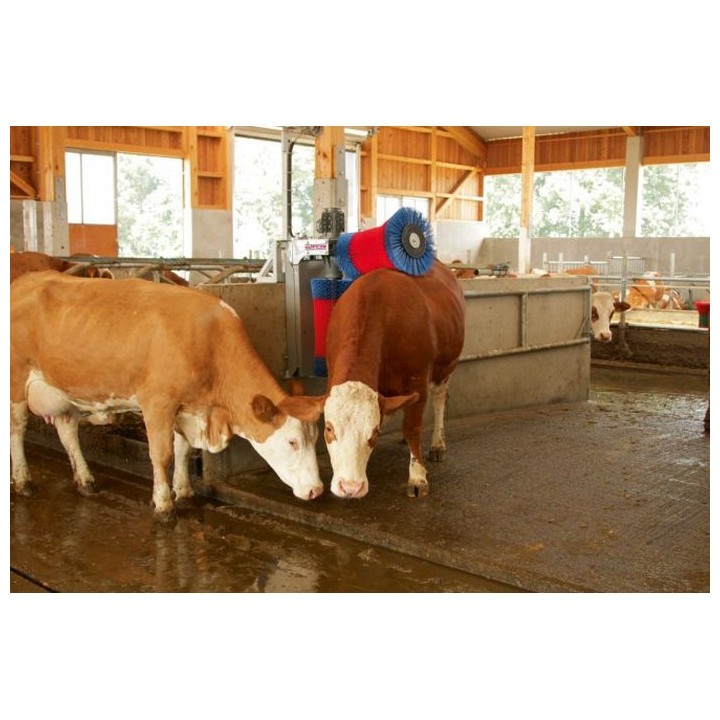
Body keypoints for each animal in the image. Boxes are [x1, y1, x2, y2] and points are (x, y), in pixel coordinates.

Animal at [10, 270, 325, 521]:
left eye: (315, 439)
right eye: (292, 441)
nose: (316, 490)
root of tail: (25, 280)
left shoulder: (186, 408)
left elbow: (183, 450)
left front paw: (184, 491)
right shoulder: (157, 403)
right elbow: (162, 455)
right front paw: (164, 505)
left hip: (62, 390)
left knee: (67, 432)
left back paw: (85, 480)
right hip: (16, 384)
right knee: (16, 430)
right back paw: (23, 481)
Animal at [320, 261, 466, 499]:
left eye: (374, 433)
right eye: (329, 428)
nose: (350, 487)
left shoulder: (418, 381)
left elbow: (412, 428)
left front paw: (417, 477)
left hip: (445, 367)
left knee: (439, 401)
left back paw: (437, 445)